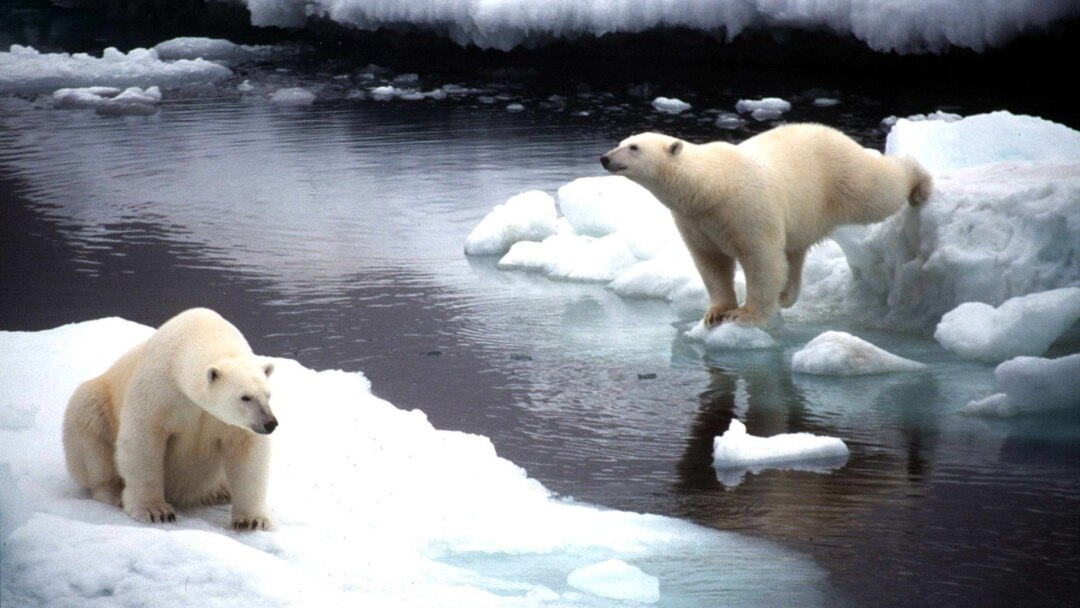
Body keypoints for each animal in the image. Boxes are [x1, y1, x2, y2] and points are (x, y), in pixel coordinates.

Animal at [62, 307, 277, 531]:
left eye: (268, 395)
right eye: (245, 397)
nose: (270, 423)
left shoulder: (229, 422)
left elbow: (247, 452)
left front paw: (252, 520)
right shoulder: (159, 389)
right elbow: (143, 439)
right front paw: (155, 511)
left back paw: (219, 492)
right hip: (97, 404)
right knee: (90, 435)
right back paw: (113, 492)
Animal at [601, 125, 932, 326]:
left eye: (634, 147)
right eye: (621, 143)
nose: (604, 158)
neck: (711, 186)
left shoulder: (746, 208)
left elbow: (761, 258)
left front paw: (744, 315)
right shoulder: (695, 220)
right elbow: (711, 262)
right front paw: (715, 312)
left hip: (841, 176)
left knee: (878, 190)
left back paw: (920, 184)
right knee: (794, 252)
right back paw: (786, 296)